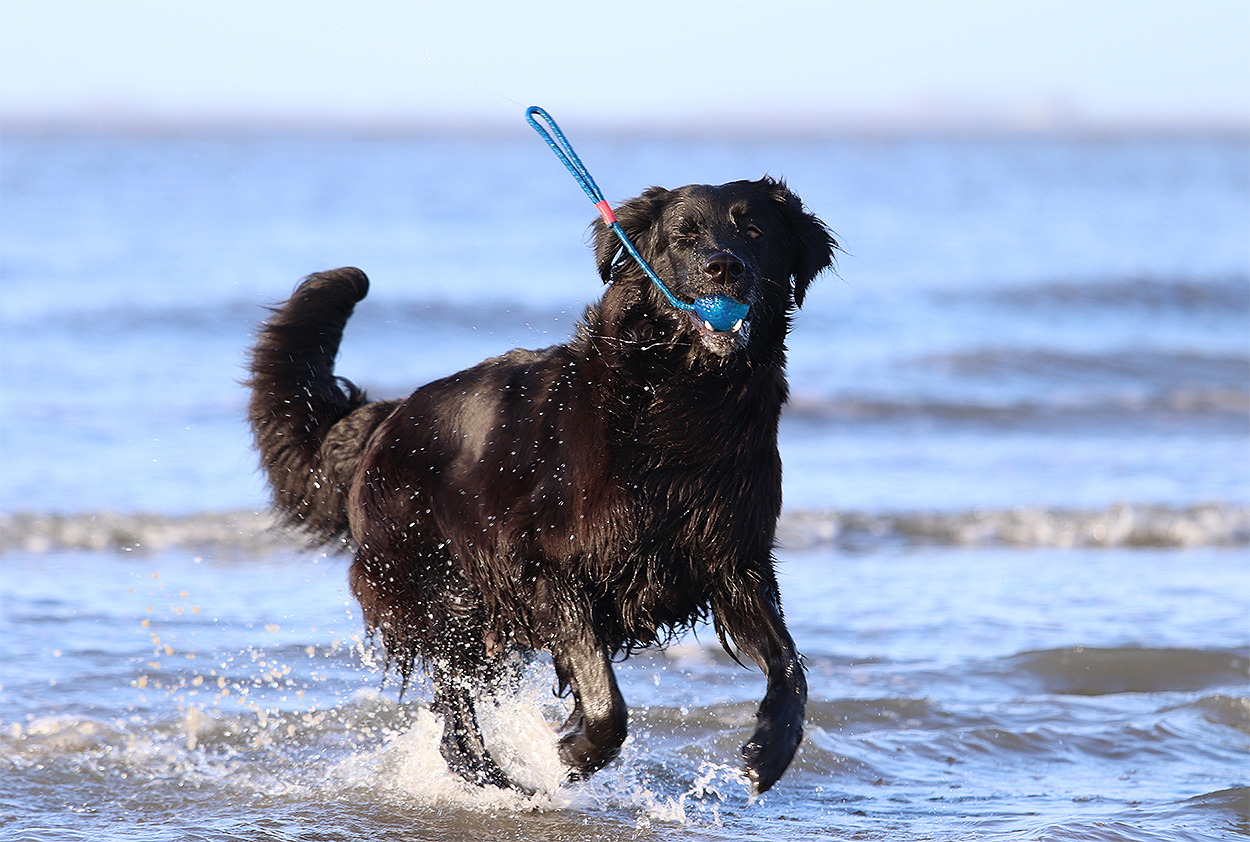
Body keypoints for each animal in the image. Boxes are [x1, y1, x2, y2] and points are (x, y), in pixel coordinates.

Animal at [247, 177, 837, 794]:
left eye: (755, 231)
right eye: (684, 235)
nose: (724, 268)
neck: (683, 398)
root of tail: (384, 419)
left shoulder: (732, 561)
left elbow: (790, 666)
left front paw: (772, 747)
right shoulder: (540, 565)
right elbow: (605, 701)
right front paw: (573, 753)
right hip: (439, 592)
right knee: (454, 717)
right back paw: (500, 782)